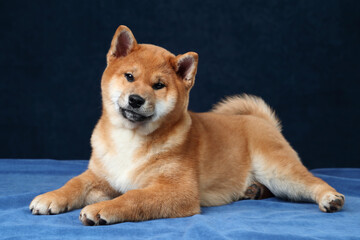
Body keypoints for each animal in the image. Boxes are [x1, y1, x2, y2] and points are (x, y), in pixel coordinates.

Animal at [29, 24, 344, 225]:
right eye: (129, 76)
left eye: (158, 85)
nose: (135, 100)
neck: (130, 141)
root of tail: (261, 121)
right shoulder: (101, 176)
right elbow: (73, 184)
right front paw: (51, 198)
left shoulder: (177, 191)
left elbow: (133, 198)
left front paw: (102, 208)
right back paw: (252, 191)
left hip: (280, 171)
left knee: (311, 182)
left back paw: (330, 197)